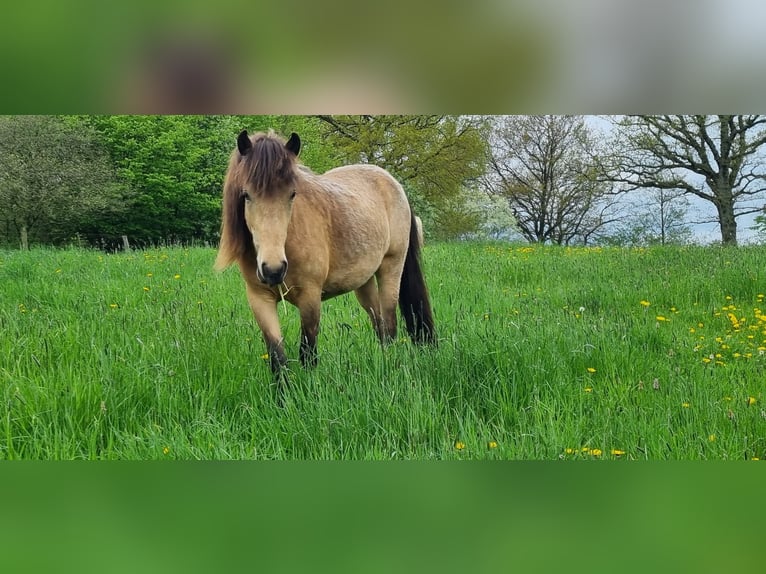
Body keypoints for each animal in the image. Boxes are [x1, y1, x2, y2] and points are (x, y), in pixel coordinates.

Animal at [214, 129, 438, 378]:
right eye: (246, 195)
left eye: (292, 194)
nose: (273, 269)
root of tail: (395, 184)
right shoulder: (260, 299)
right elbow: (278, 359)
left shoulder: (310, 297)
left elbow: (308, 352)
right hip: (364, 282)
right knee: (379, 324)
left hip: (391, 268)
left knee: (389, 326)